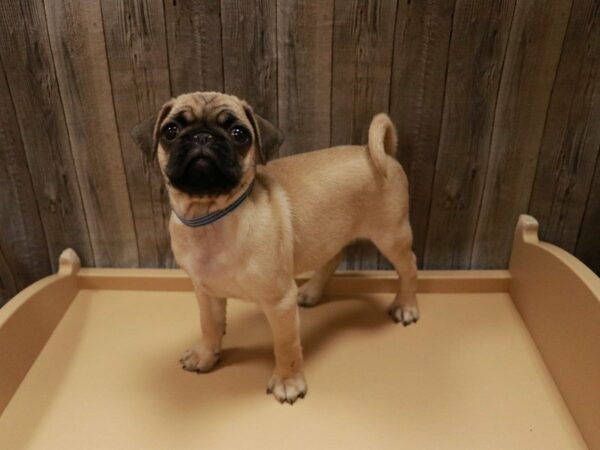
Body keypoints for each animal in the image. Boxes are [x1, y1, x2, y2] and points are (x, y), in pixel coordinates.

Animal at [134, 91, 420, 404]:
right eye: (170, 131)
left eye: (239, 134)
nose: (202, 136)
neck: (211, 216)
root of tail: (381, 153)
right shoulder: (206, 292)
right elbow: (209, 326)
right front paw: (206, 355)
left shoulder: (279, 302)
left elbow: (286, 346)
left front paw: (288, 382)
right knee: (333, 257)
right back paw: (311, 292)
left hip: (392, 236)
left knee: (409, 266)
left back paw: (406, 306)